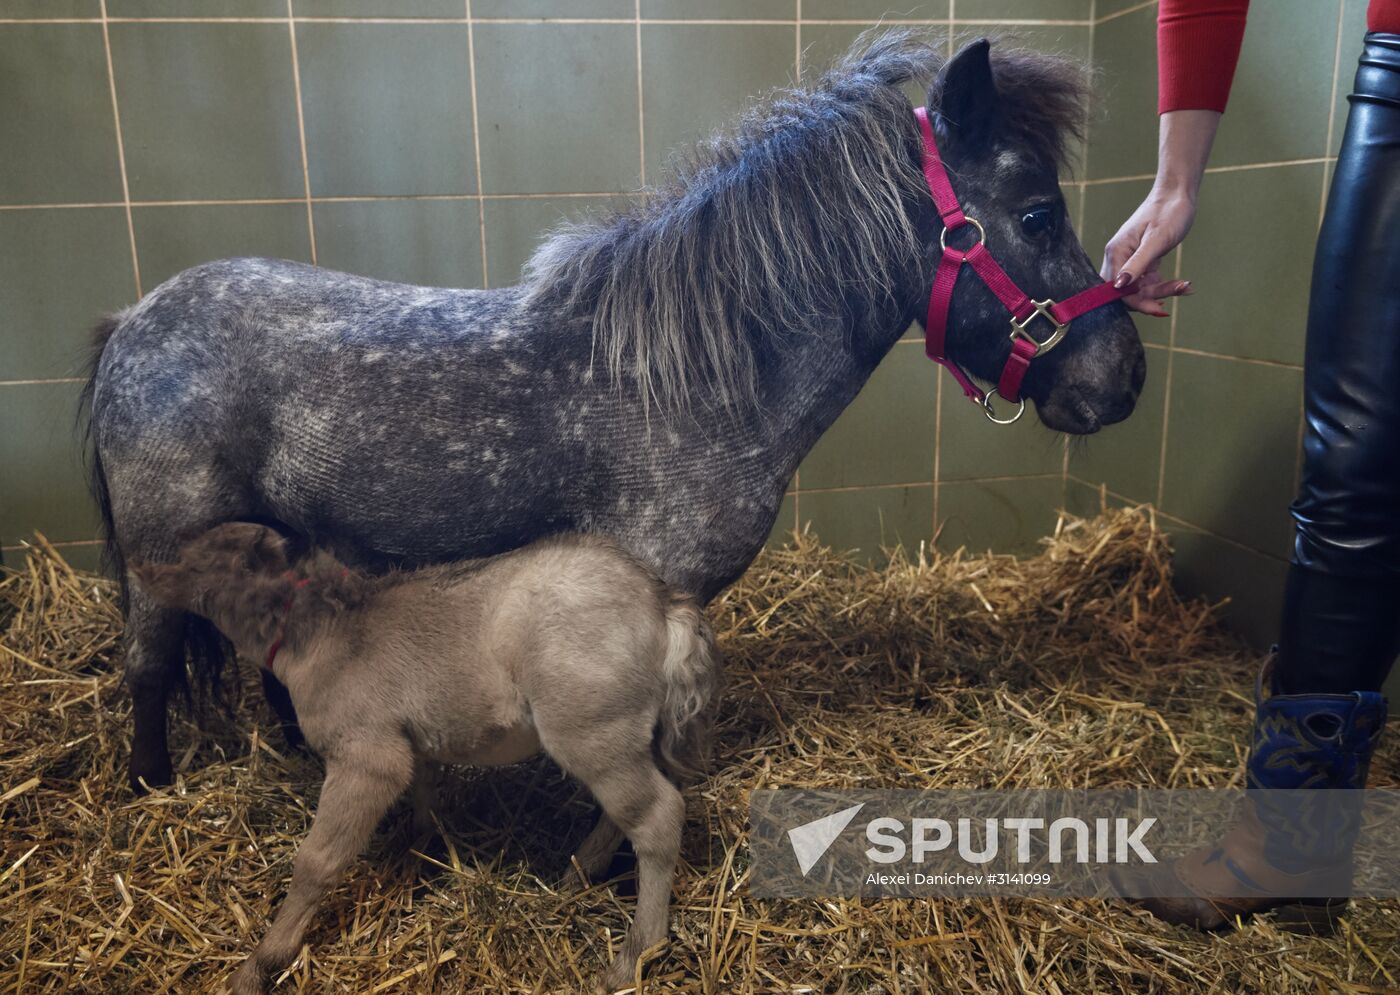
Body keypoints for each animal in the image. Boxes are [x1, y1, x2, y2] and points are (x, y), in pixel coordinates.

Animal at [84, 31, 1145, 792]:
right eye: (1039, 212)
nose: (1123, 377)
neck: (697, 374)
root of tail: (135, 320)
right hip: (158, 555)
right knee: (148, 665)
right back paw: (150, 785)